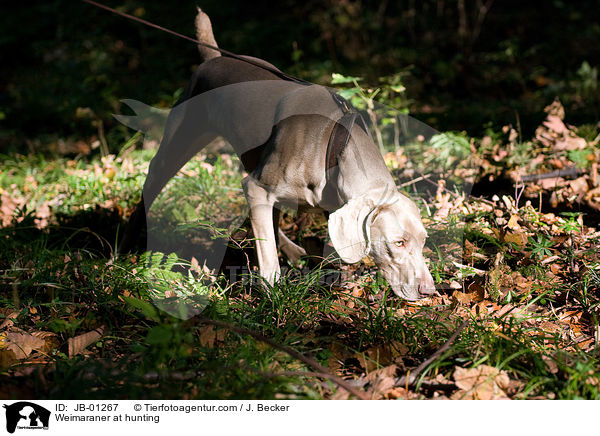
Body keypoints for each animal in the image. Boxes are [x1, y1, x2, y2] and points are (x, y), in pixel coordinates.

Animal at [119, 9, 436, 300]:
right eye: (398, 242)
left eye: (423, 241)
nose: (429, 291)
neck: (333, 142)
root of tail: (214, 58)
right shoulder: (257, 187)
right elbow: (268, 255)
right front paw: (272, 296)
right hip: (176, 148)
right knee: (151, 188)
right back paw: (121, 251)